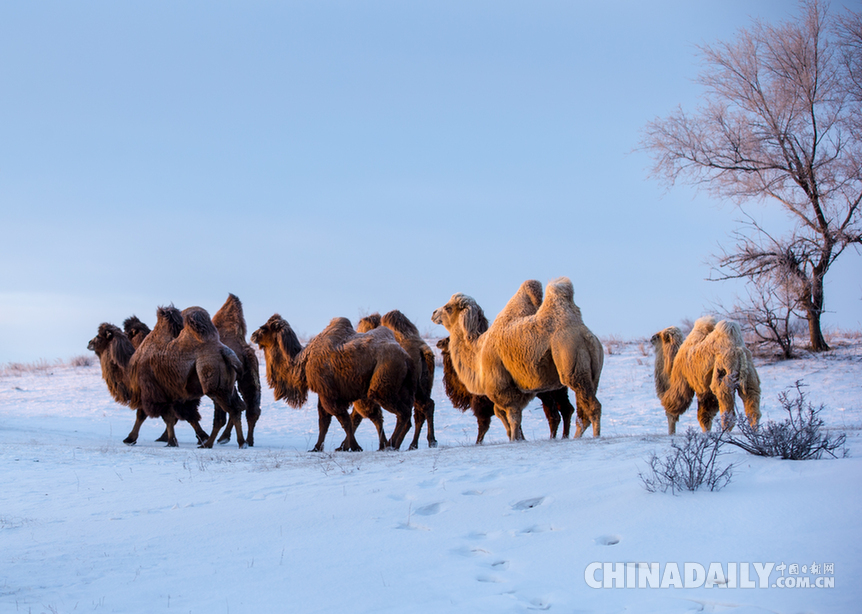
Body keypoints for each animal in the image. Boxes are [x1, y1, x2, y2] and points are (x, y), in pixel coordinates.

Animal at [130, 306, 248, 448]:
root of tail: (225, 352)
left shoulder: (152, 390)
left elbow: (144, 414)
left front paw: (130, 439)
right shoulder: (172, 394)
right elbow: (172, 417)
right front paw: (171, 441)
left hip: (214, 387)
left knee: (231, 411)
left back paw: (216, 443)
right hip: (227, 387)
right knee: (237, 407)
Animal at [251, 318, 416, 452]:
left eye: (264, 328)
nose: (253, 335)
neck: (303, 362)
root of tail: (407, 357)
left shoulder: (330, 395)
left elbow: (344, 420)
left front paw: (355, 447)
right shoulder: (323, 392)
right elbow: (324, 421)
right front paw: (317, 448)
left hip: (382, 384)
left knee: (402, 412)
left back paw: (390, 444)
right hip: (401, 387)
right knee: (403, 413)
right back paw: (391, 444)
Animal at [348, 312, 436, 452]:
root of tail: (423, 350)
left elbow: (359, 416)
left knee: (413, 413)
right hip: (422, 386)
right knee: (423, 408)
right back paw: (419, 443)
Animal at [432, 280, 608, 442]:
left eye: (448, 308)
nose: (433, 313)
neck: (478, 353)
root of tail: (585, 334)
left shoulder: (503, 387)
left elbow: (512, 417)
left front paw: (515, 439)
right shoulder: (520, 390)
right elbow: (503, 414)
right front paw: (515, 437)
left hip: (570, 360)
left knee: (592, 406)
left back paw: (596, 436)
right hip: (592, 373)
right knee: (582, 410)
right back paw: (577, 436)